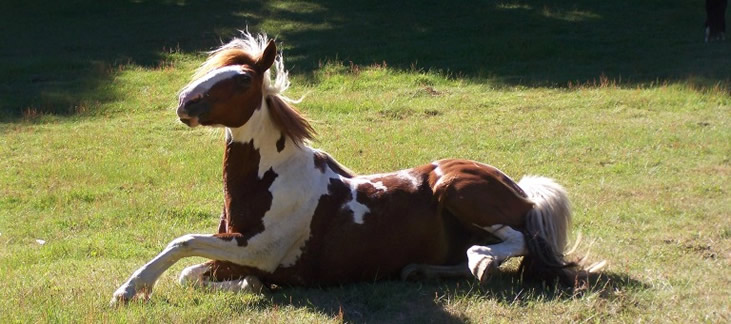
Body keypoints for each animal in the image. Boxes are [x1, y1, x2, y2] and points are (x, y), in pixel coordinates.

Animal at [110, 31, 600, 306]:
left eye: (243, 79)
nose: (184, 103)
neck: (271, 180)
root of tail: (522, 191)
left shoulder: (257, 248)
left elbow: (183, 243)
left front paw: (129, 291)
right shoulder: (237, 255)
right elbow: (192, 275)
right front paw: (253, 287)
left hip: (457, 186)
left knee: (517, 239)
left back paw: (480, 260)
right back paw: (425, 270)